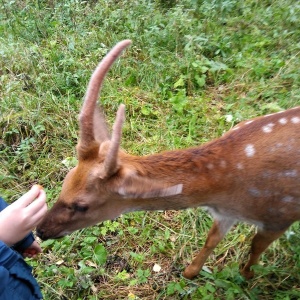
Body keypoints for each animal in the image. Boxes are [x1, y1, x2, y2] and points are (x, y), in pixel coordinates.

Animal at [37, 39, 300, 278]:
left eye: (82, 205)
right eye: (65, 182)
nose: (40, 230)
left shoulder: (280, 215)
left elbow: (255, 247)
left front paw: (246, 275)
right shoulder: (225, 213)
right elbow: (212, 239)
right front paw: (189, 272)